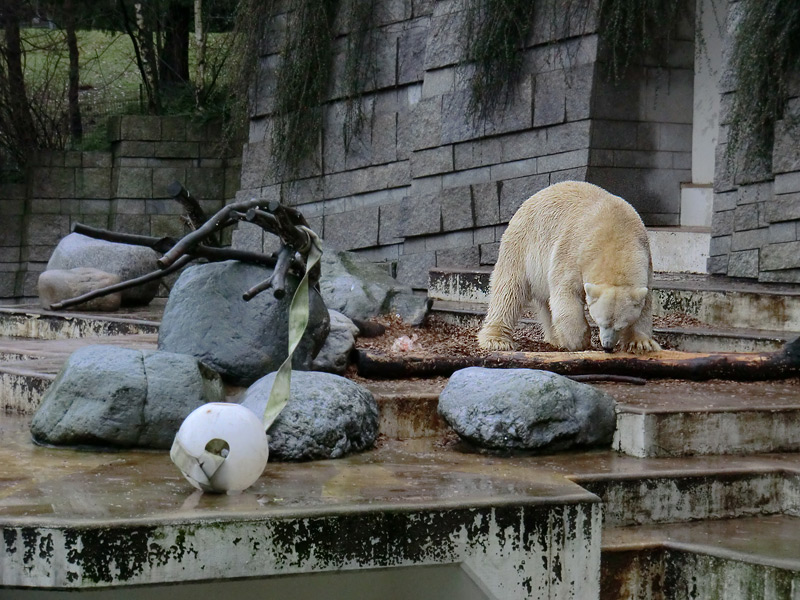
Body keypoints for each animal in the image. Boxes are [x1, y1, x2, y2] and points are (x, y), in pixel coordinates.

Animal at [478, 180, 660, 354]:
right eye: (600, 321)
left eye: (621, 326)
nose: (607, 346)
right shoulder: (573, 251)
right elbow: (566, 292)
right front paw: (580, 340)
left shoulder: (645, 259)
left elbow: (645, 306)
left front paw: (641, 343)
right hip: (522, 244)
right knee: (509, 289)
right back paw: (497, 339)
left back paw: (556, 338)